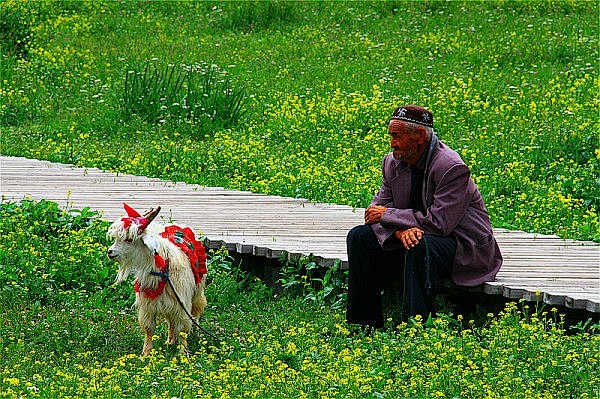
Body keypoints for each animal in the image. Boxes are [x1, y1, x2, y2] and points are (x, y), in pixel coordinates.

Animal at [108, 205, 209, 354]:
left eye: (129, 239)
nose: (110, 252)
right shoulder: (148, 305)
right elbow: (149, 328)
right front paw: (146, 353)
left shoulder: (182, 302)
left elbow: (182, 329)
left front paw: (183, 354)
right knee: (171, 321)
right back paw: (170, 341)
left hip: (196, 290)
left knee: (196, 309)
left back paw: (194, 332)